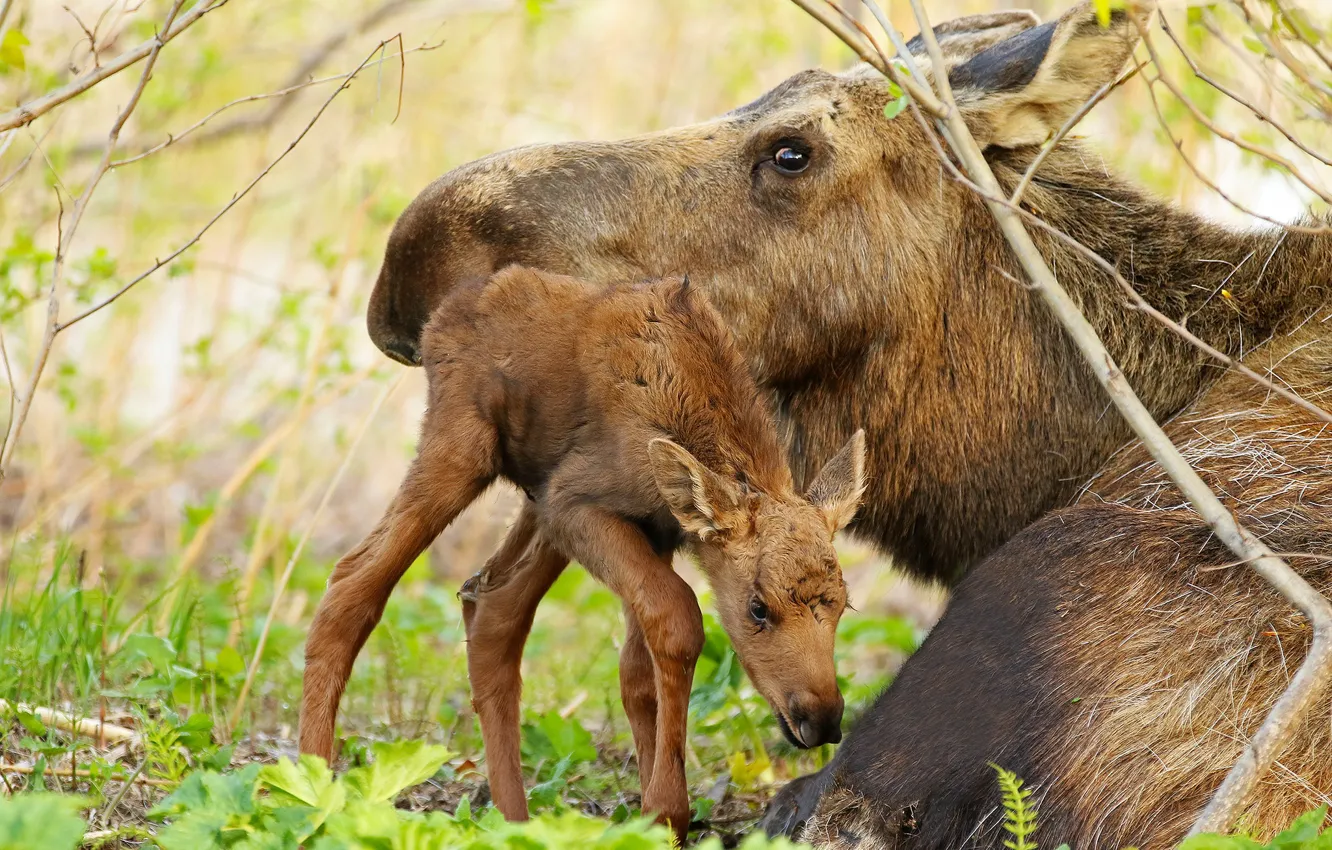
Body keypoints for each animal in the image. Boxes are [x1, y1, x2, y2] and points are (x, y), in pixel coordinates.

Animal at [299, 264, 866, 842]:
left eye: (843, 604)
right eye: (758, 608)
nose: (822, 717)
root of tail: (440, 317)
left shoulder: (653, 530)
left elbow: (637, 671)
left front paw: (652, 816)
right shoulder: (576, 502)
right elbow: (679, 620)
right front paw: (666, 809)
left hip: (531, 500)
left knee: (490, 605)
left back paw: (514, 823)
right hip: (465, 449)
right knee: (353, 580)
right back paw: (316, 791)